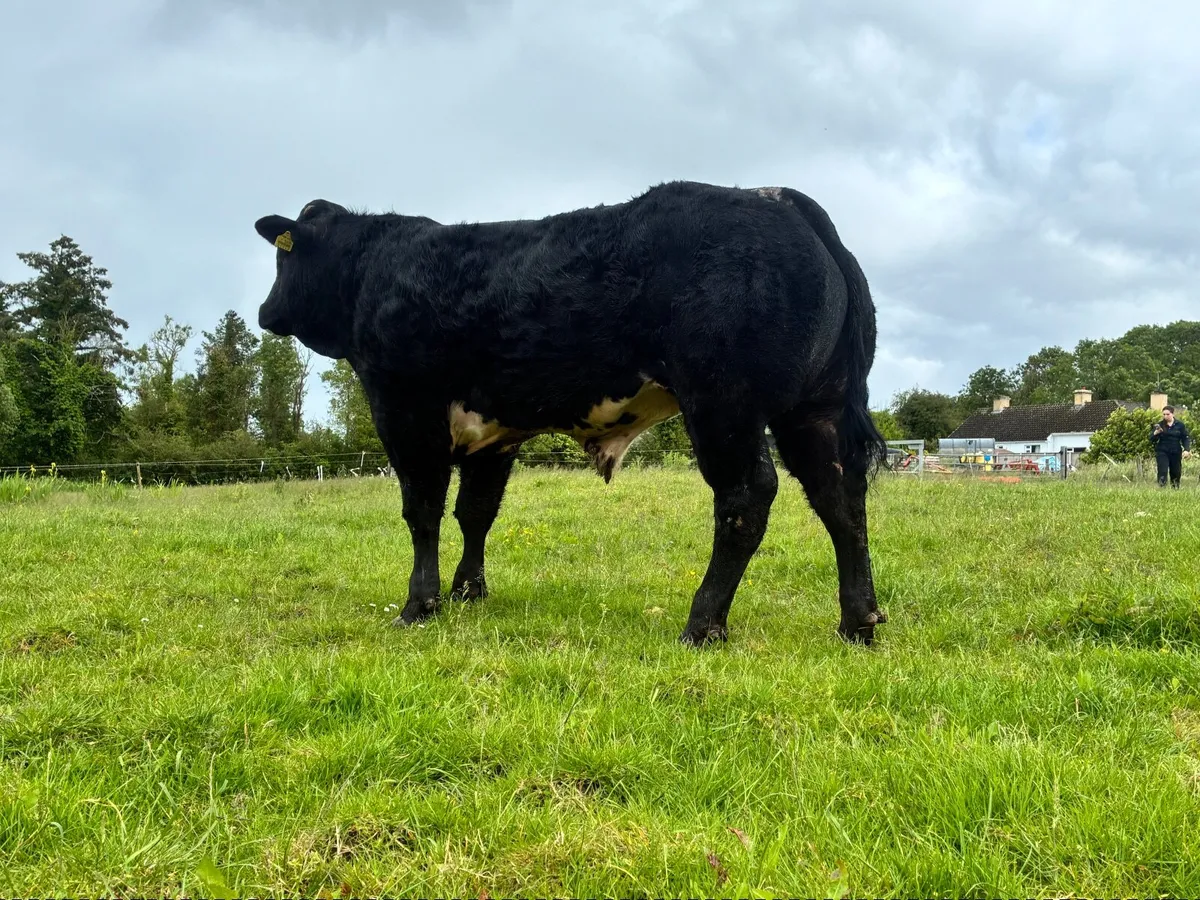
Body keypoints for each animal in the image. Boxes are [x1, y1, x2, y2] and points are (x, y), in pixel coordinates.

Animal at [253, 180, 889, 646]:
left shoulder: (405, 411)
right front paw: (467, 592)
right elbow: (475, 512)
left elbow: (423, 512)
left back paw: (703, 624)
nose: (264, 312)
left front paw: (419, 604)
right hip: (813, 409)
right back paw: (858, 621)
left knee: (746, 498)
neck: (370, 271)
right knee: (840, 497)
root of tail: (774, 196)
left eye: (284, 260)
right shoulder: (495, 433)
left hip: (723, 403)